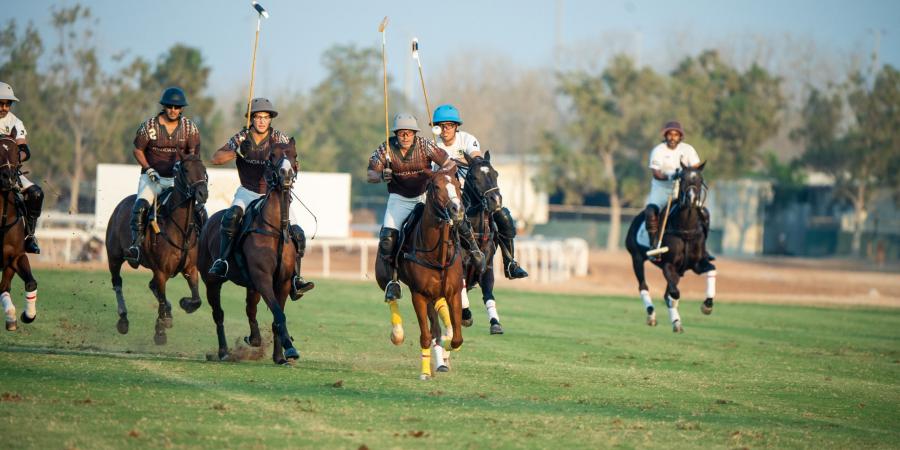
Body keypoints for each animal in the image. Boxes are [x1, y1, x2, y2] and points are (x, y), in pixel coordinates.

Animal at [105, 152, 209, 344]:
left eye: (204, 169)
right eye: (185, 169)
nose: (202, 193)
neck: (181, 229)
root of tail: (121, 204)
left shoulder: (191, 268)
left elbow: (197, 299)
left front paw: (184, 304)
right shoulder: (161, 271)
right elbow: (160, 299)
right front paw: (160, 332)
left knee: (151, 285)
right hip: (114, 257)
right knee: (117, 283)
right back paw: (123, 319)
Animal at [199, 139, 300, 364]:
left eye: (295, 155)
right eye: (272, 155)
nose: (286, 175)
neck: (275, 229)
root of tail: (209, 220)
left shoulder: (283, 282)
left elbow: (276, 316)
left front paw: (280, 356)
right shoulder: (262, 277)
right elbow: (278, 314)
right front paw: (290, 349)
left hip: (251, 285)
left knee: (249, 308)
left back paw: (254, 338)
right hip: (212, 280)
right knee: (218, 314)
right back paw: (223, 351)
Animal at [376, 163, 468, 378]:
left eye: (458, 185)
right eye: (436, 186)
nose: (457, 209)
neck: (436, 255)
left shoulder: (453, 293)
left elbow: (456, 338)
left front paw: (446, 348)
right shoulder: (418, 294)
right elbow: (426, 336)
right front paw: (425, 372)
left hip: (435, 294)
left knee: (437, 323)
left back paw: (441, 359)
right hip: (383, 275)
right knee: (391, 295)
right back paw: (397, 333)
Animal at [624, 163, 716, 334]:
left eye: (699, 179)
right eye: (682, 178)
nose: (691, 200)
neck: (686, 228)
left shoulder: (696, 264)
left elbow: (712, 269)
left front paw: (707, 305)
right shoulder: (668, 265)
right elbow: (674, 293)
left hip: (677, 272)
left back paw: (675, 321)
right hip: (636, 258)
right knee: (643, 286)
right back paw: (652, 316)